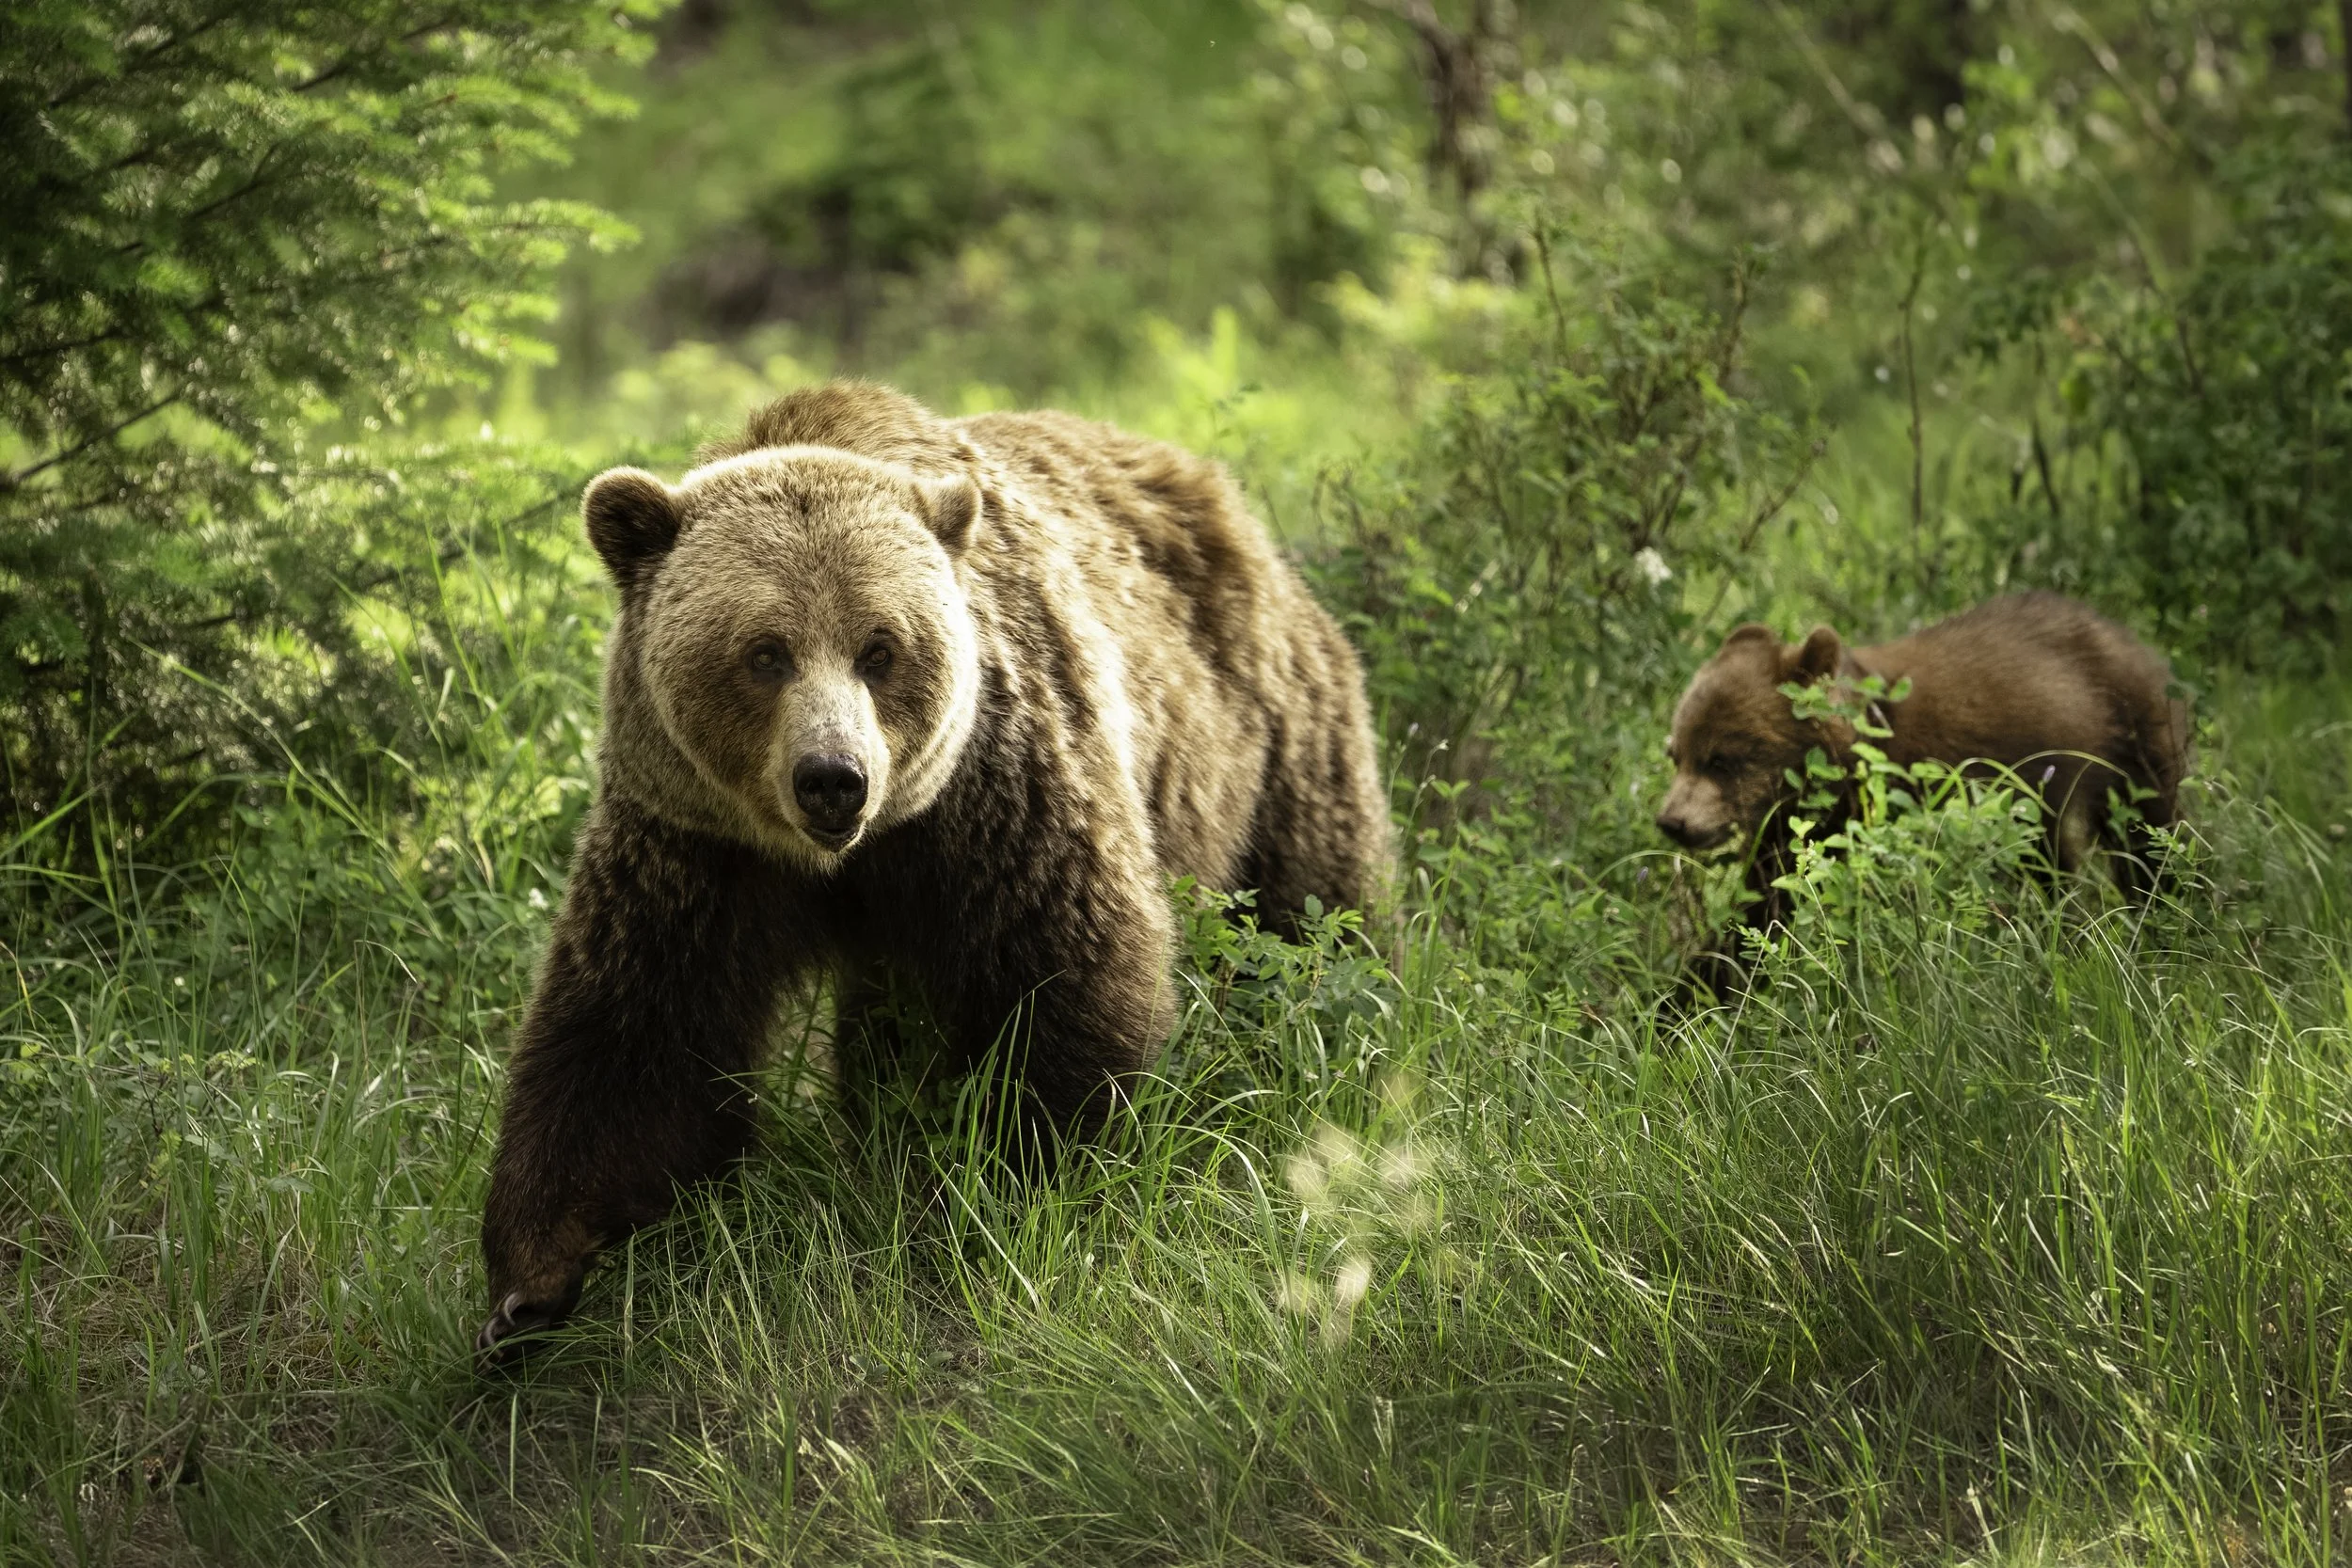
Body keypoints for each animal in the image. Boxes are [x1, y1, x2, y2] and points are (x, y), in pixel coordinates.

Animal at [474, 383, 1393, 1363]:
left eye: (879, 647)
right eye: (766, 651)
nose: (833, 776)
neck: (847, 858)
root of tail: (1225, 498)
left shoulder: (997, 792)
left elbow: (1061, 974)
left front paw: (1015, 1181)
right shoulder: (697, 842)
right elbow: (636, 1039)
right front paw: (530, 1283)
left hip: (1274, 742)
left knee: (1312, 920)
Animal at [1655, 591, 2189, 990]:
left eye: (1721, 758)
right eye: (1676, 752)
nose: (1672, 821)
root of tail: (2121, 631)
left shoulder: (1881, 805)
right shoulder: (1785, 832)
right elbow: (1766, 903)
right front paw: (1687, 996)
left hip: (2128, 736)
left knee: (2147, 835)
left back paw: (2161, 914)